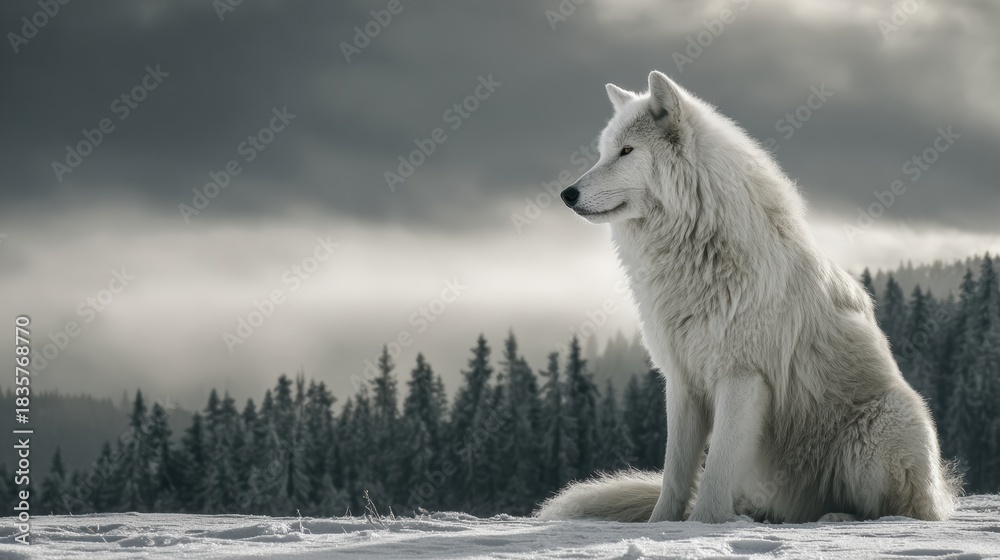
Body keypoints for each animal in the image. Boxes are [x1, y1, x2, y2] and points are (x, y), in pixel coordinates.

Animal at [537, 71, 960, 524]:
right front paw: (663, 524)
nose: (566, 194)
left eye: (626, 151)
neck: (695, 250)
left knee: (895, 509)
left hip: (886, 426)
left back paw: (839, 518)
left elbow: (717, 467)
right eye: (603, 153)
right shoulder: (682, 382)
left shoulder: (742, 377)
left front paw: (702, 524)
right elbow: (675, 473)